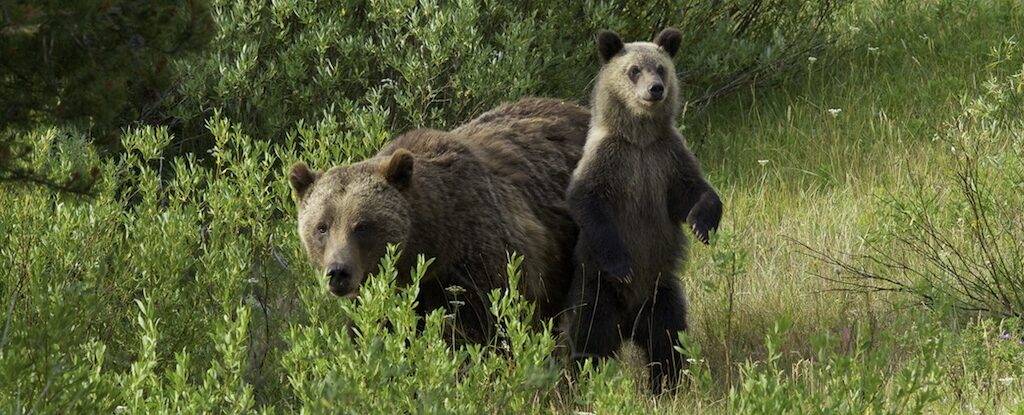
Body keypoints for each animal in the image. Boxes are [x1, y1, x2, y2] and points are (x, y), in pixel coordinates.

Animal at [561, 28, 723, 393]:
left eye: (660, 68)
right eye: (634, 69)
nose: (655, 89)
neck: (640, 138)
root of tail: (627, 325)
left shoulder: (666, 160)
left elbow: (695, 191)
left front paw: (701, 225)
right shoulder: (611, 161)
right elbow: (588, 203)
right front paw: (622, 264)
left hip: (662, 293)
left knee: (667, 340)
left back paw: (667, 385)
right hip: (597, 292)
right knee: (587, 340)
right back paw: (580, 383)